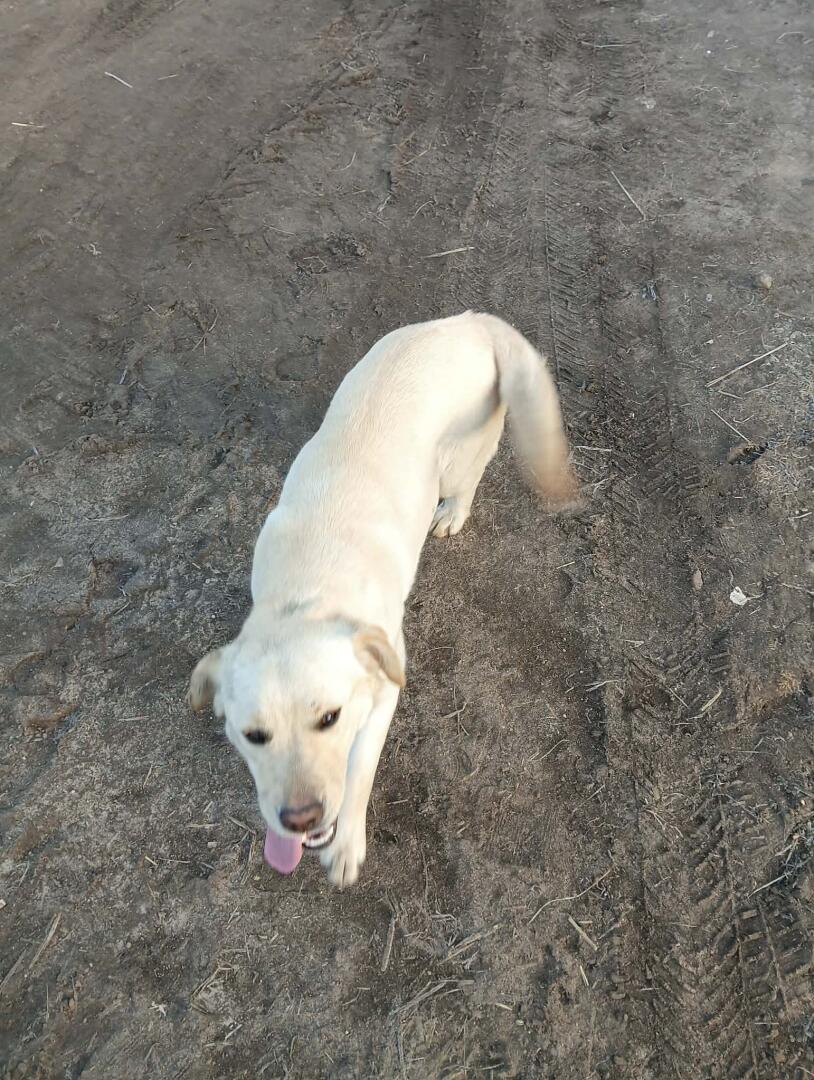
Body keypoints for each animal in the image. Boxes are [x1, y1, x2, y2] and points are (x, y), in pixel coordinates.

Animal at [188, 312, 579, 887]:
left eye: (329, 718)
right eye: (254, 735)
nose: (300, 819)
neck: (306, 595)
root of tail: (472, 324)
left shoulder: (383, 693)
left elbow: (359, 773)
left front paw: (347, 841)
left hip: (458, 462)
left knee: (466, 484)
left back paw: (452, 514)